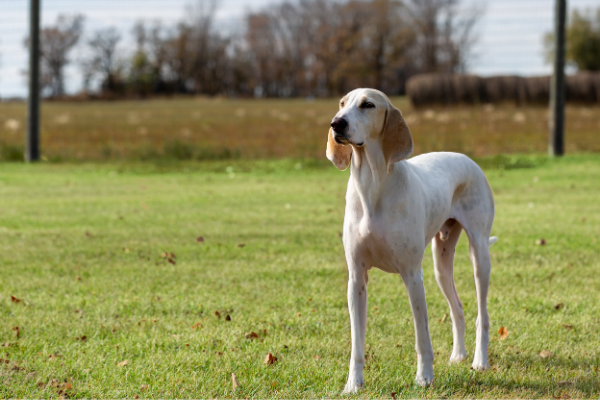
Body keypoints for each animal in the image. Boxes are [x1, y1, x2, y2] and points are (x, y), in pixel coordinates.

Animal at [328, 89, 496, 392]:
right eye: (342, 103)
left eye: (368, 105)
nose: (336, 123)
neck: (372, 186)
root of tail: (469, 160)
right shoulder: (356, 279)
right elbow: (357, 343)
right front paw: (353, 384)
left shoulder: (412, 275)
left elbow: (422, 337)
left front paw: (424, 378)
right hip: (441, 265)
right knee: (458, 309)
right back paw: (458, 355)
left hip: (479, 256)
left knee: (482, 315)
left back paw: (479, 360)